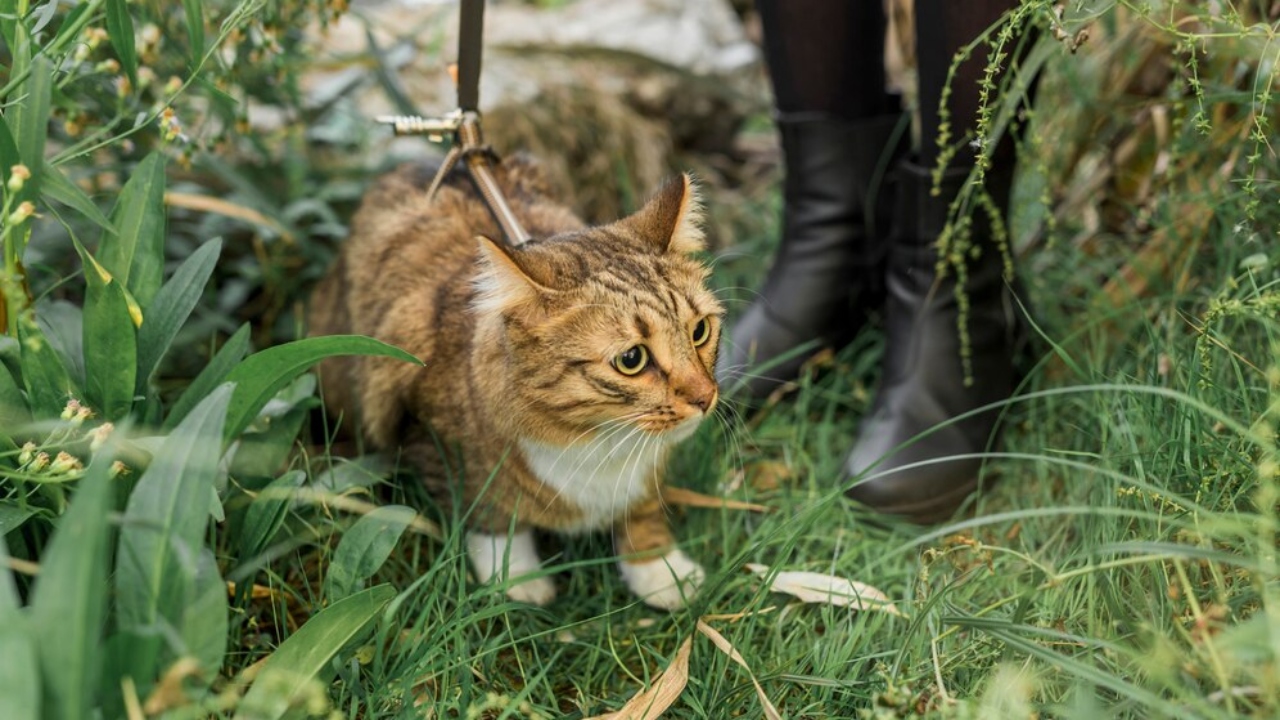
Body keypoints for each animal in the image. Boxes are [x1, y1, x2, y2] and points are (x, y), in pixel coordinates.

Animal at [308, 155, 721, 604]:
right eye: (632, 359)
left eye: (700, 331)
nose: (705, 397)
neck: (598, 441)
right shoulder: (437, 440)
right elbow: (490, 513)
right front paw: (516, 578)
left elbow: (642, 509)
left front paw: (658, 570)